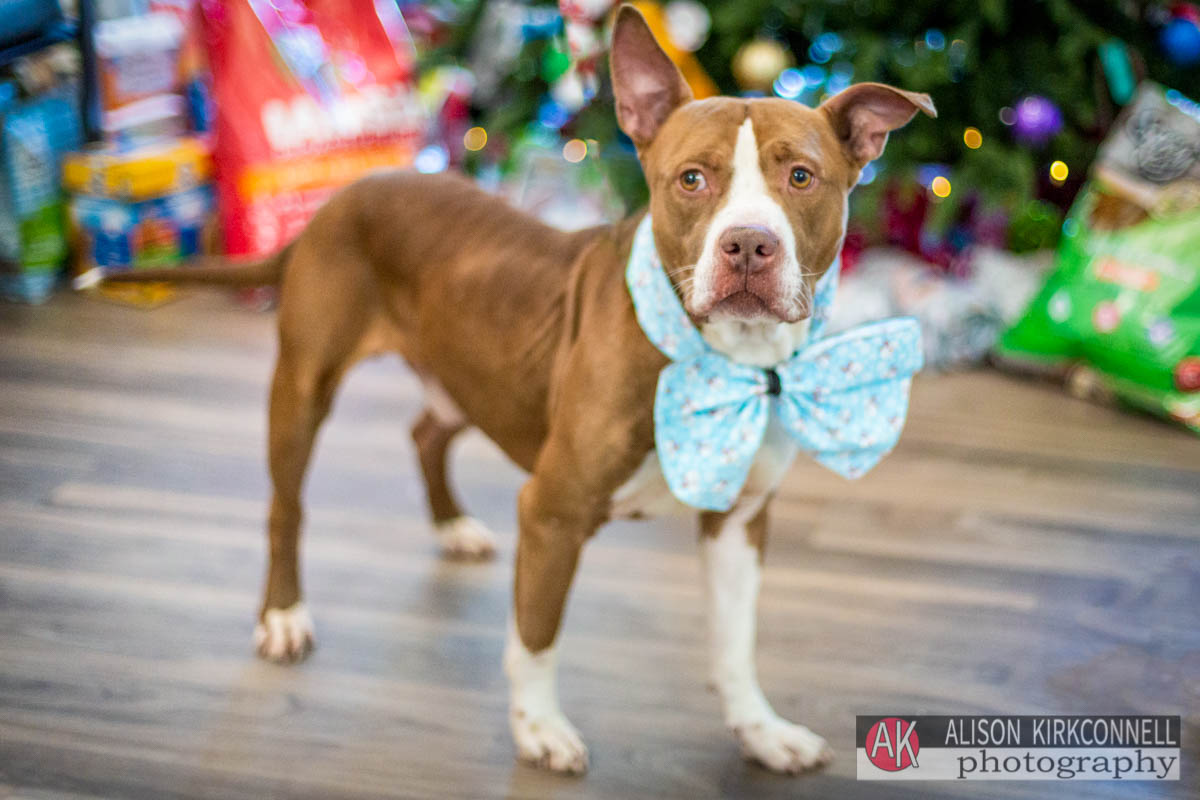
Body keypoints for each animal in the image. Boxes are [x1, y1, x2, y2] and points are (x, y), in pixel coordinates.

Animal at [98, 7, 931, 777]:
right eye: (692, 179)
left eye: (802, 177)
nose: (750, 245)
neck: (722, 358)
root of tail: (336, 202)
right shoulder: (552, 514)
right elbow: (537, 637)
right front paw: (539, 731)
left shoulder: (739, 520)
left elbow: (735, 646)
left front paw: (762, 733)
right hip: (305, 385)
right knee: (285, 508)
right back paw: (282, 615)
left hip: (471, 372)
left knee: (426, 432)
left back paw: (452, 525)